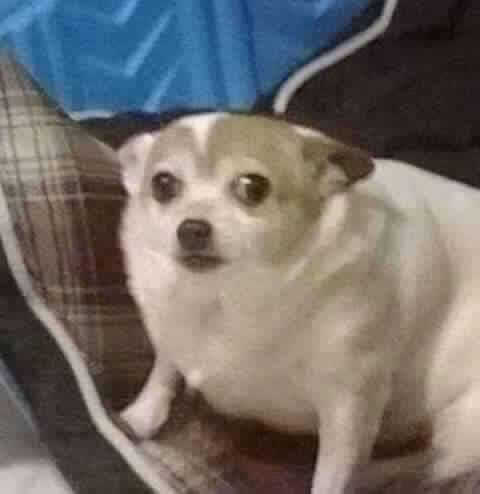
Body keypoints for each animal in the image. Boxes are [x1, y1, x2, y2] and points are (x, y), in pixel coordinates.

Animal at [118, 114, 480, 494]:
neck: (226, 295)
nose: (191, 228)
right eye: (163, 184)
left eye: (253, 187)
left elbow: (334, 477)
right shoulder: (169, 329)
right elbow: (164, 367)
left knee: (428, 465)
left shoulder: (350, 409)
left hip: (462, 430)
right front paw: (138, 416)